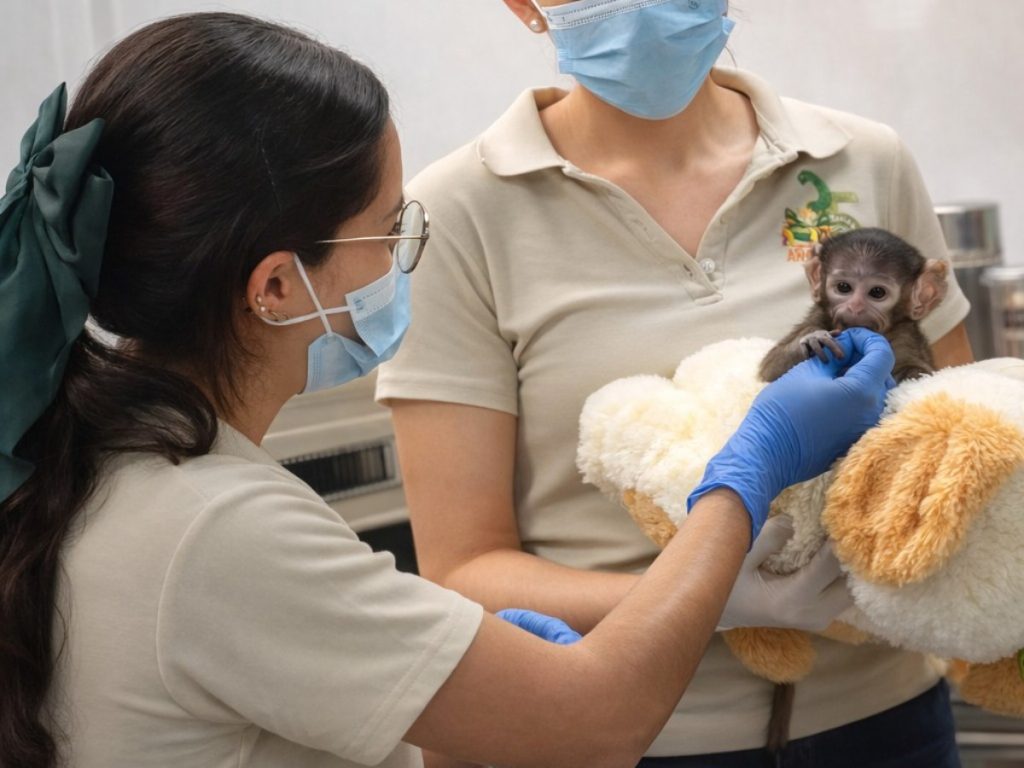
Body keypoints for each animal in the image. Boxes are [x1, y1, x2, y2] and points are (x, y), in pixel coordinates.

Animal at [759, 228, 949, 384]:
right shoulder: (818, 315)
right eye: (844, 287)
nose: (855, 307)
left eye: (877, 292)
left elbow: (917, 374)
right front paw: (814, 340)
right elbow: (770, 368)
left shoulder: (905, 335)